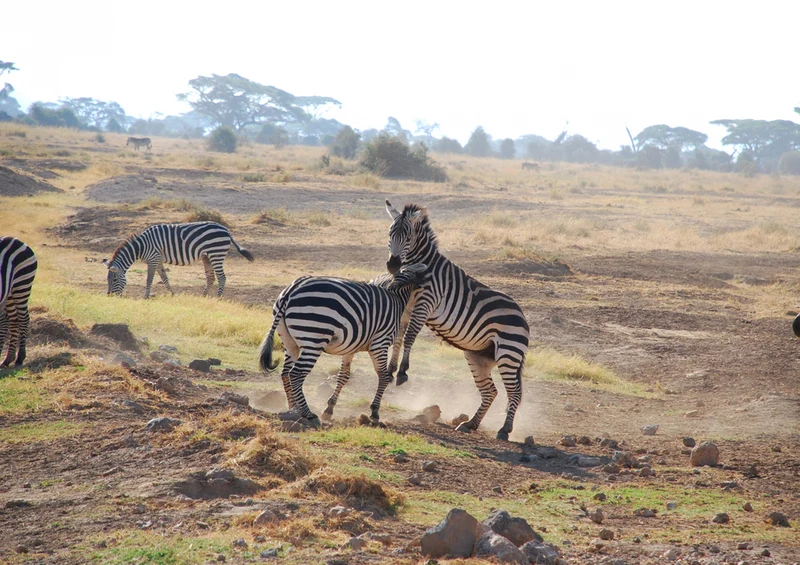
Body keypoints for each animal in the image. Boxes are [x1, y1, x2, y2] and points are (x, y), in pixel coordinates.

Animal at [0, 237, 38, 368]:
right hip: (8, 295)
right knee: (10, 320)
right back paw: (8, 359)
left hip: (21, 284)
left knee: (23, 319)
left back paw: (19, 358)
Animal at [103, 222, 254, 299]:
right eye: (107, 279)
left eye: (114, 280)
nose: (109, 295)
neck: (141, 246)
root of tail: (226, 230)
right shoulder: (158, 259)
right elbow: (164, 278)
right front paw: (172, 294)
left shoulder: (153, 258)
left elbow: (149, 279)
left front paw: (145, 296)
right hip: (207, 256)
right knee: (211, 277)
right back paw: (203, 296)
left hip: (216, 253)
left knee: (222, 277)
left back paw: (218, 298)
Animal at [258, 263, 428, 427]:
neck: (396, 295)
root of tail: (291, 290)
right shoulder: (380, 343)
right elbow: (384, 376)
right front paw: (375, 412)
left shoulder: (351, 347)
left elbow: (343, 376)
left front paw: (329, 409)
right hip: (314, 338)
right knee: (296, 374)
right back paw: (308, 414)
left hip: (290, 341)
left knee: (285, 373)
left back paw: (293, 408)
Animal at [384, 200, 530, 441]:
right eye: (390, 234)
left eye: (408, 237)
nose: (393, 266)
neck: (424, 267)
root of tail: (523, 317)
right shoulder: (407, 306)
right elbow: (398, 337)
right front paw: (391, 370)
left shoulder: (426, 303)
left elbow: (410, 336)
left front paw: (403, 372)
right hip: (478, 356)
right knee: (491, 391)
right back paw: (470, 424)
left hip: (509, 354)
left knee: (514, 392)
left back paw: (504, 430)